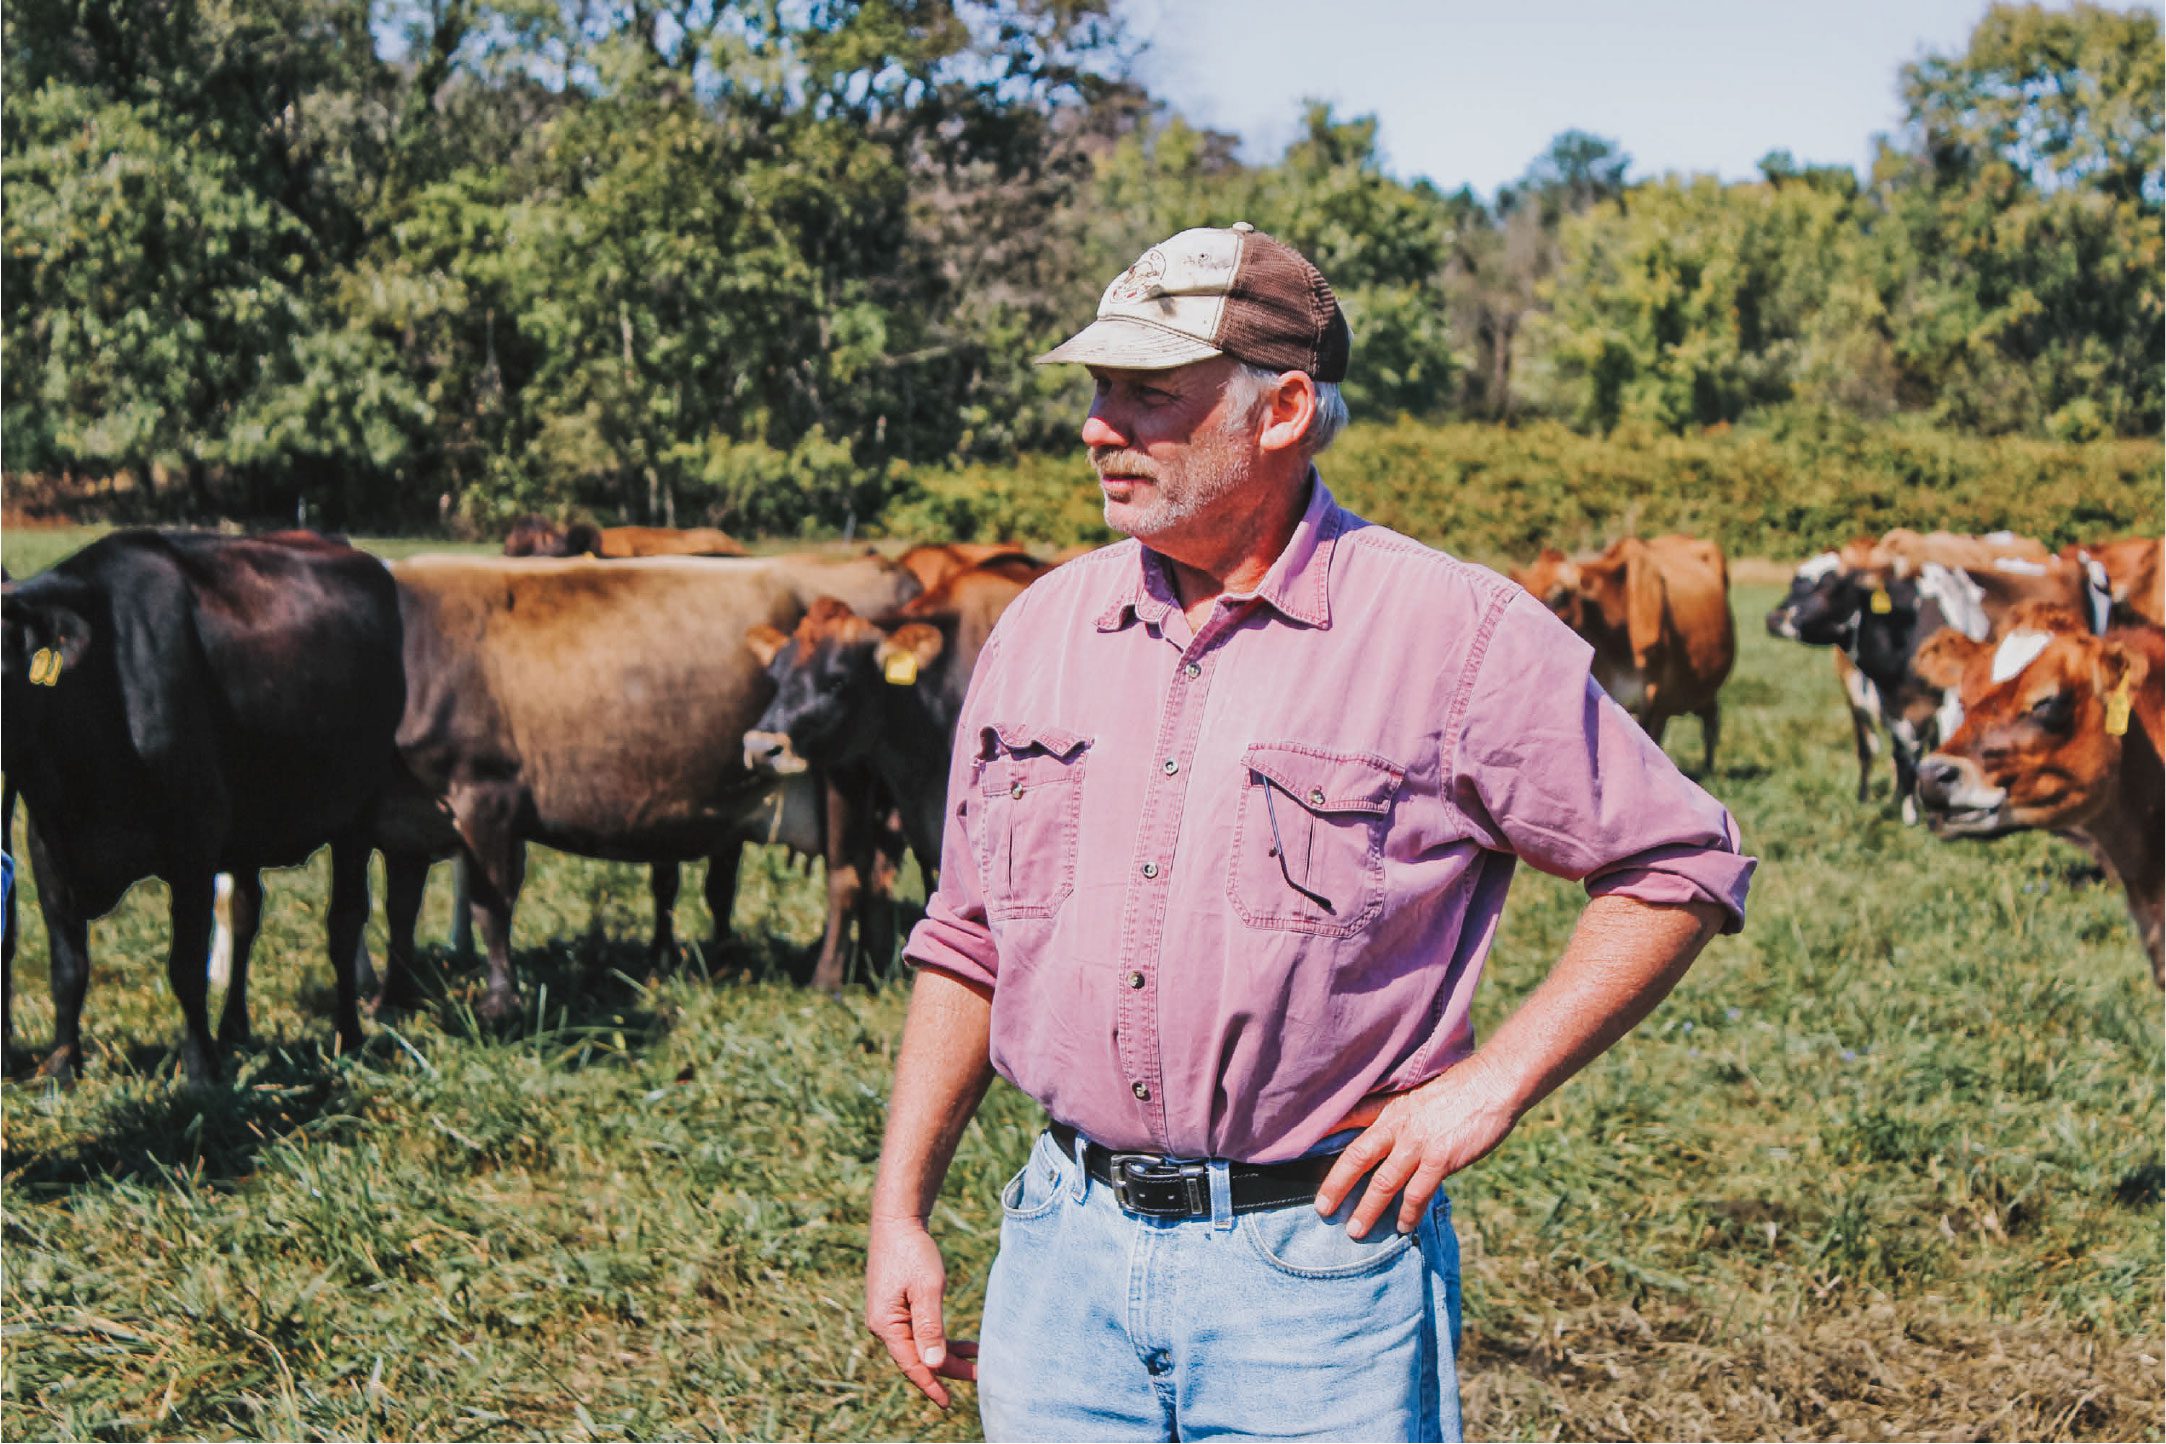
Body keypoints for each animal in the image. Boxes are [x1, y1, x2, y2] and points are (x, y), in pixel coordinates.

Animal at [1, 534, 407, 1082]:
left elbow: (186, 966)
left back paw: (349, 1035)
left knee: (344, 924)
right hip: (248, 833)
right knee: (246, 914)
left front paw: (200, 1069)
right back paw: (234, 1026)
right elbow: (68, 968)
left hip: (357, 814)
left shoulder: (193, 843)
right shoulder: (48, 847)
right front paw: (62, 1065)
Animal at [376, 549, 918, 1017]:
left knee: (846, 877)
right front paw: (392, 1000)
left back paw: (828, 980)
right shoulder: (404, 822)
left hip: (844, 775)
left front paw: (499, 1003)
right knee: (875, 876)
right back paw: (875, 964)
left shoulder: (486, 793)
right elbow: (400, 910)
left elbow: (491, 907)